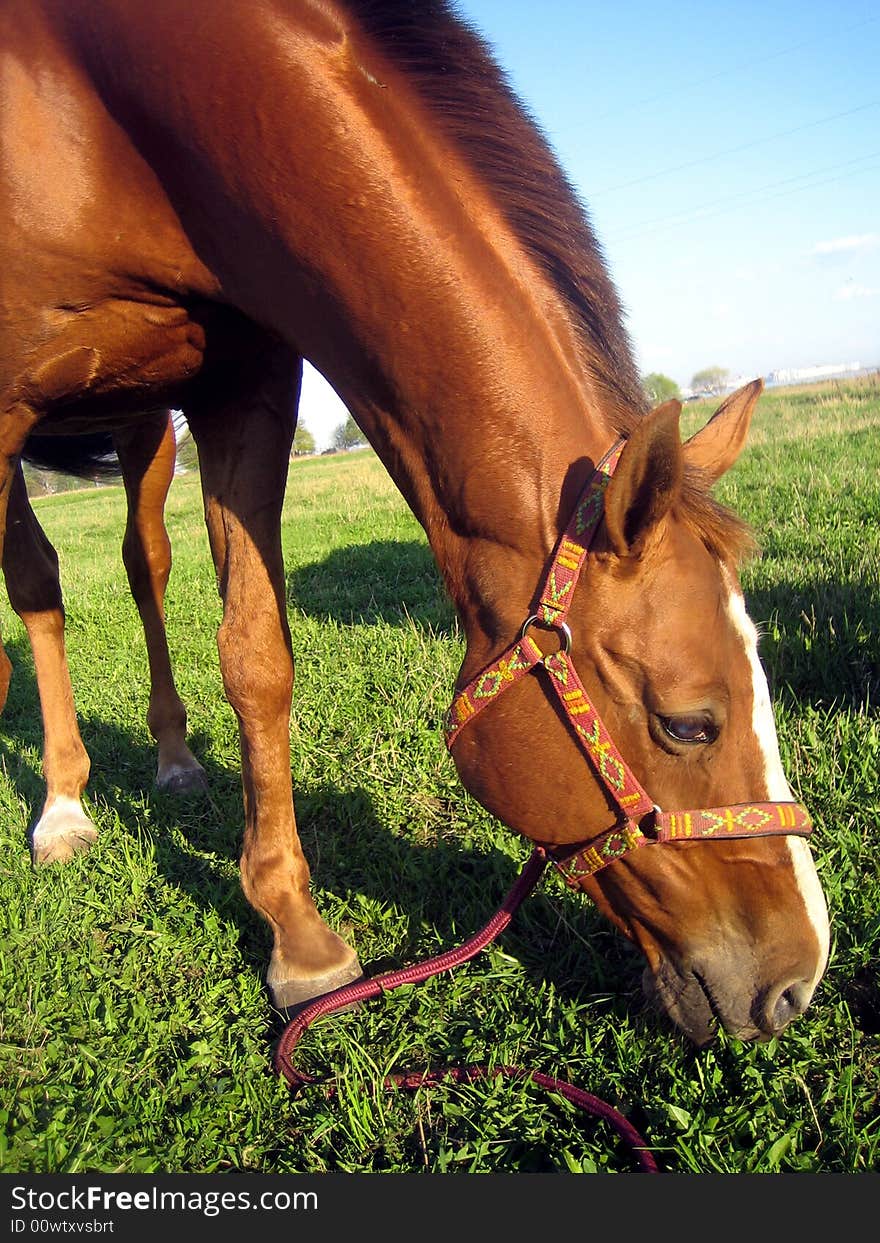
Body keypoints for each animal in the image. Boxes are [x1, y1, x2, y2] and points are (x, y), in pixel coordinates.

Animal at [0, 2, 830, 1049]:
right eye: (690, 723)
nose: (800, 978)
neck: (111, 105)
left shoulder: (245, 384)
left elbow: (257, 655)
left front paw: (297, 937)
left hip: (144, 420)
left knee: (143, 565)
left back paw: (175, 757)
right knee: (40, 582)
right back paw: (65, 801)